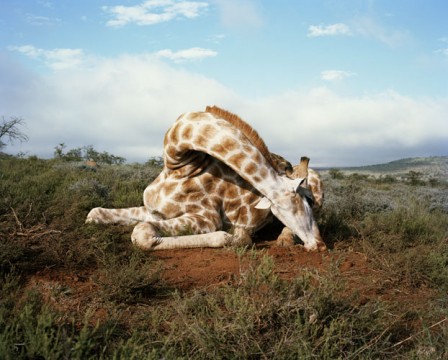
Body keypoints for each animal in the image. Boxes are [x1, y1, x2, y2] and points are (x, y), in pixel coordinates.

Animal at [86, 105, 328, 252]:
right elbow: (94, 213)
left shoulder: (206, 218)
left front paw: (234, 237)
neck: (178, 166)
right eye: (304, 202)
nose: (321, 245)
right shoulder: (152, 210)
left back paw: (284, 241)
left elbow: (142, 232)